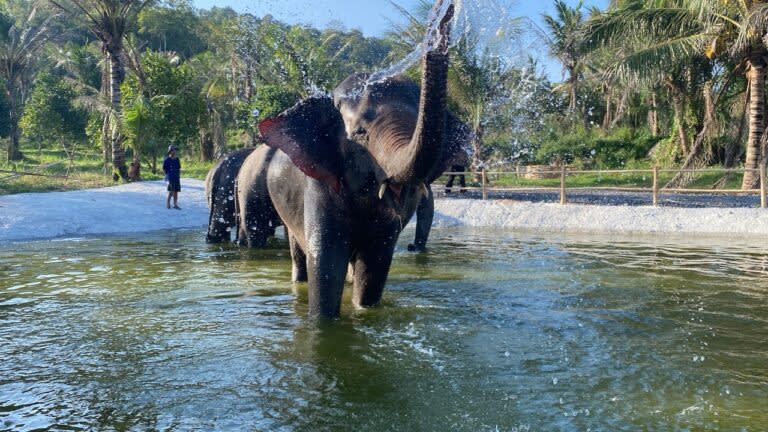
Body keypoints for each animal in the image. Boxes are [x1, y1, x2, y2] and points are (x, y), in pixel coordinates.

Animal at [255, 2, 455, 318]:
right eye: (360, 133)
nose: (445, 9)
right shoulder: (319, 184)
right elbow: (326, 263)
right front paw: (322, 322)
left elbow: (374, 266)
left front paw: (363, 311)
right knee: (298, 253)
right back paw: (298, 282)